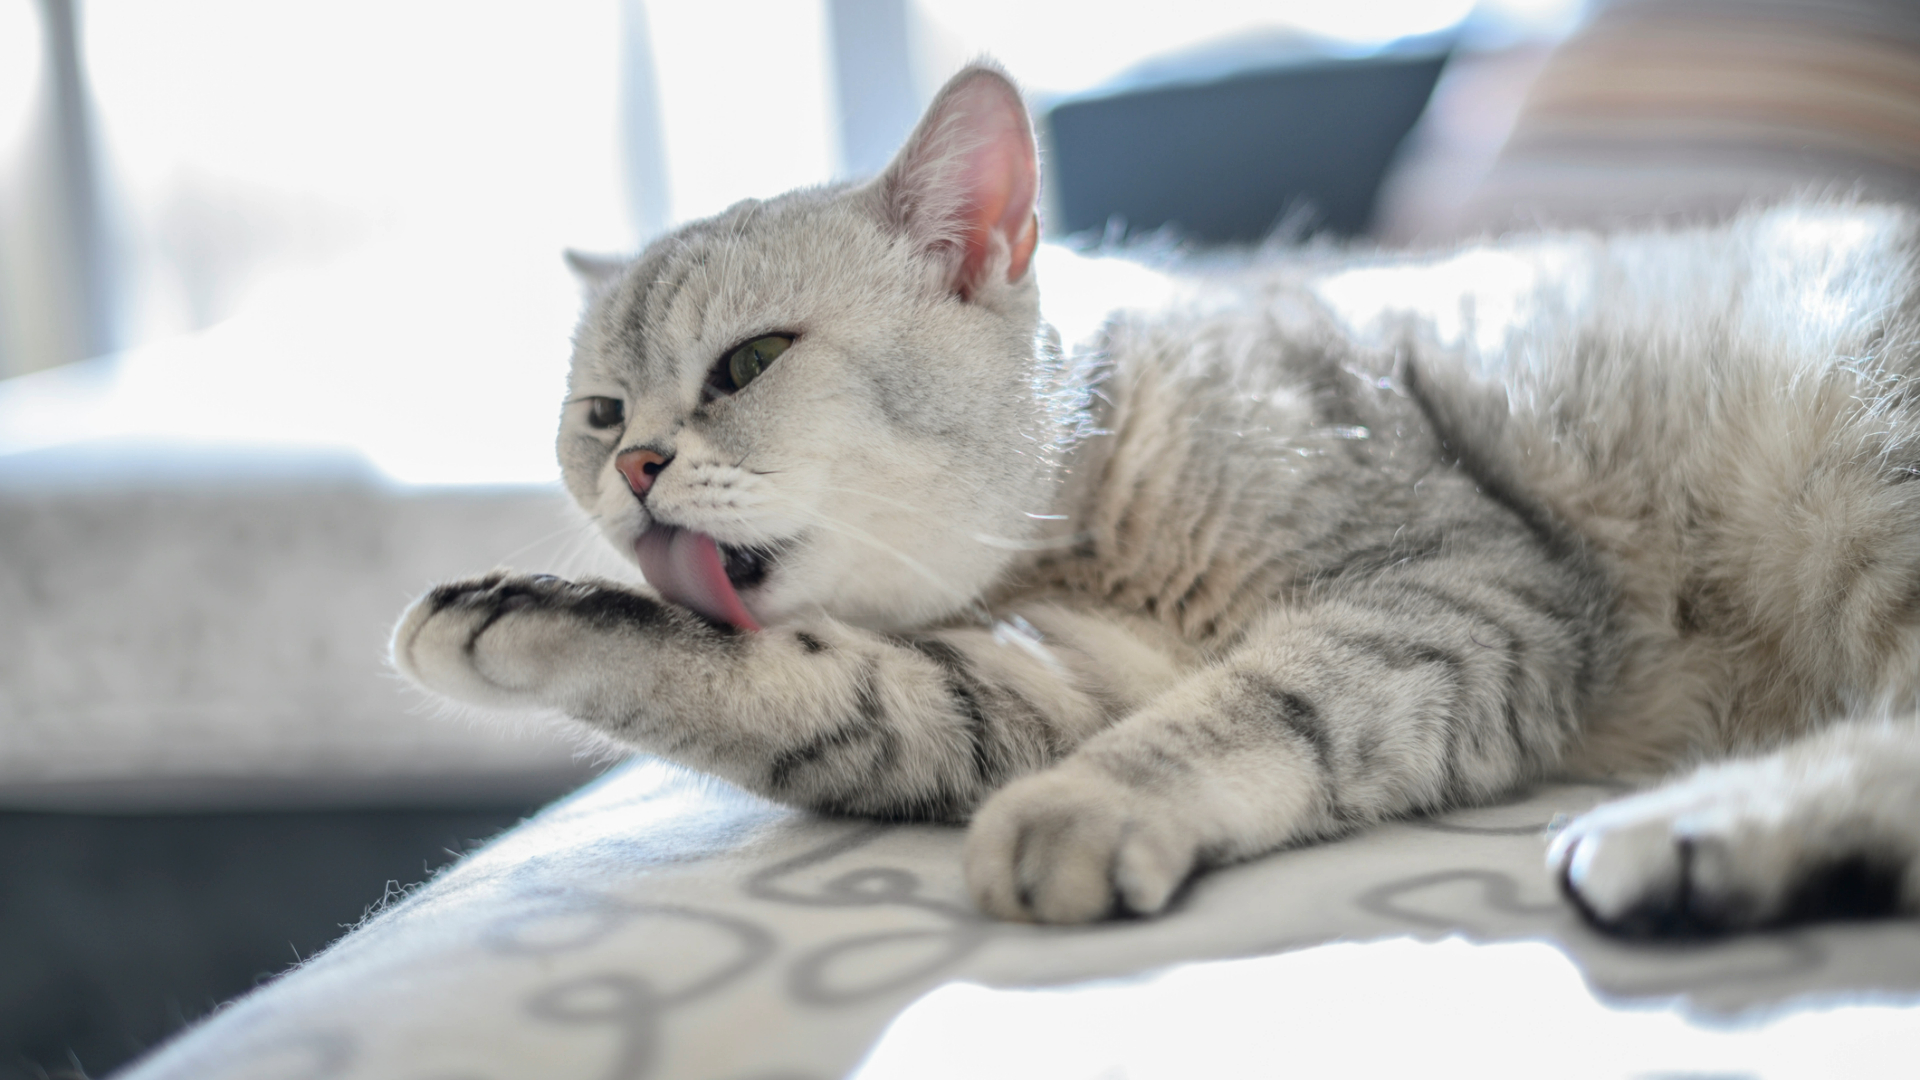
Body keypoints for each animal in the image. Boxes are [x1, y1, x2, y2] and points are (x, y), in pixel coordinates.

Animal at [389, 61, 1920, 933]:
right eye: (599, 414)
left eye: (747, 363)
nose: (635, 466)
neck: (1076, 536)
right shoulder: (1052, 684)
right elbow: (817, 693)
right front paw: (518, 610)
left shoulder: (1465, 585)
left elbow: (1271, 701)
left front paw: (1089, 808)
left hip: (1858, 465)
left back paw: (1689, 837)